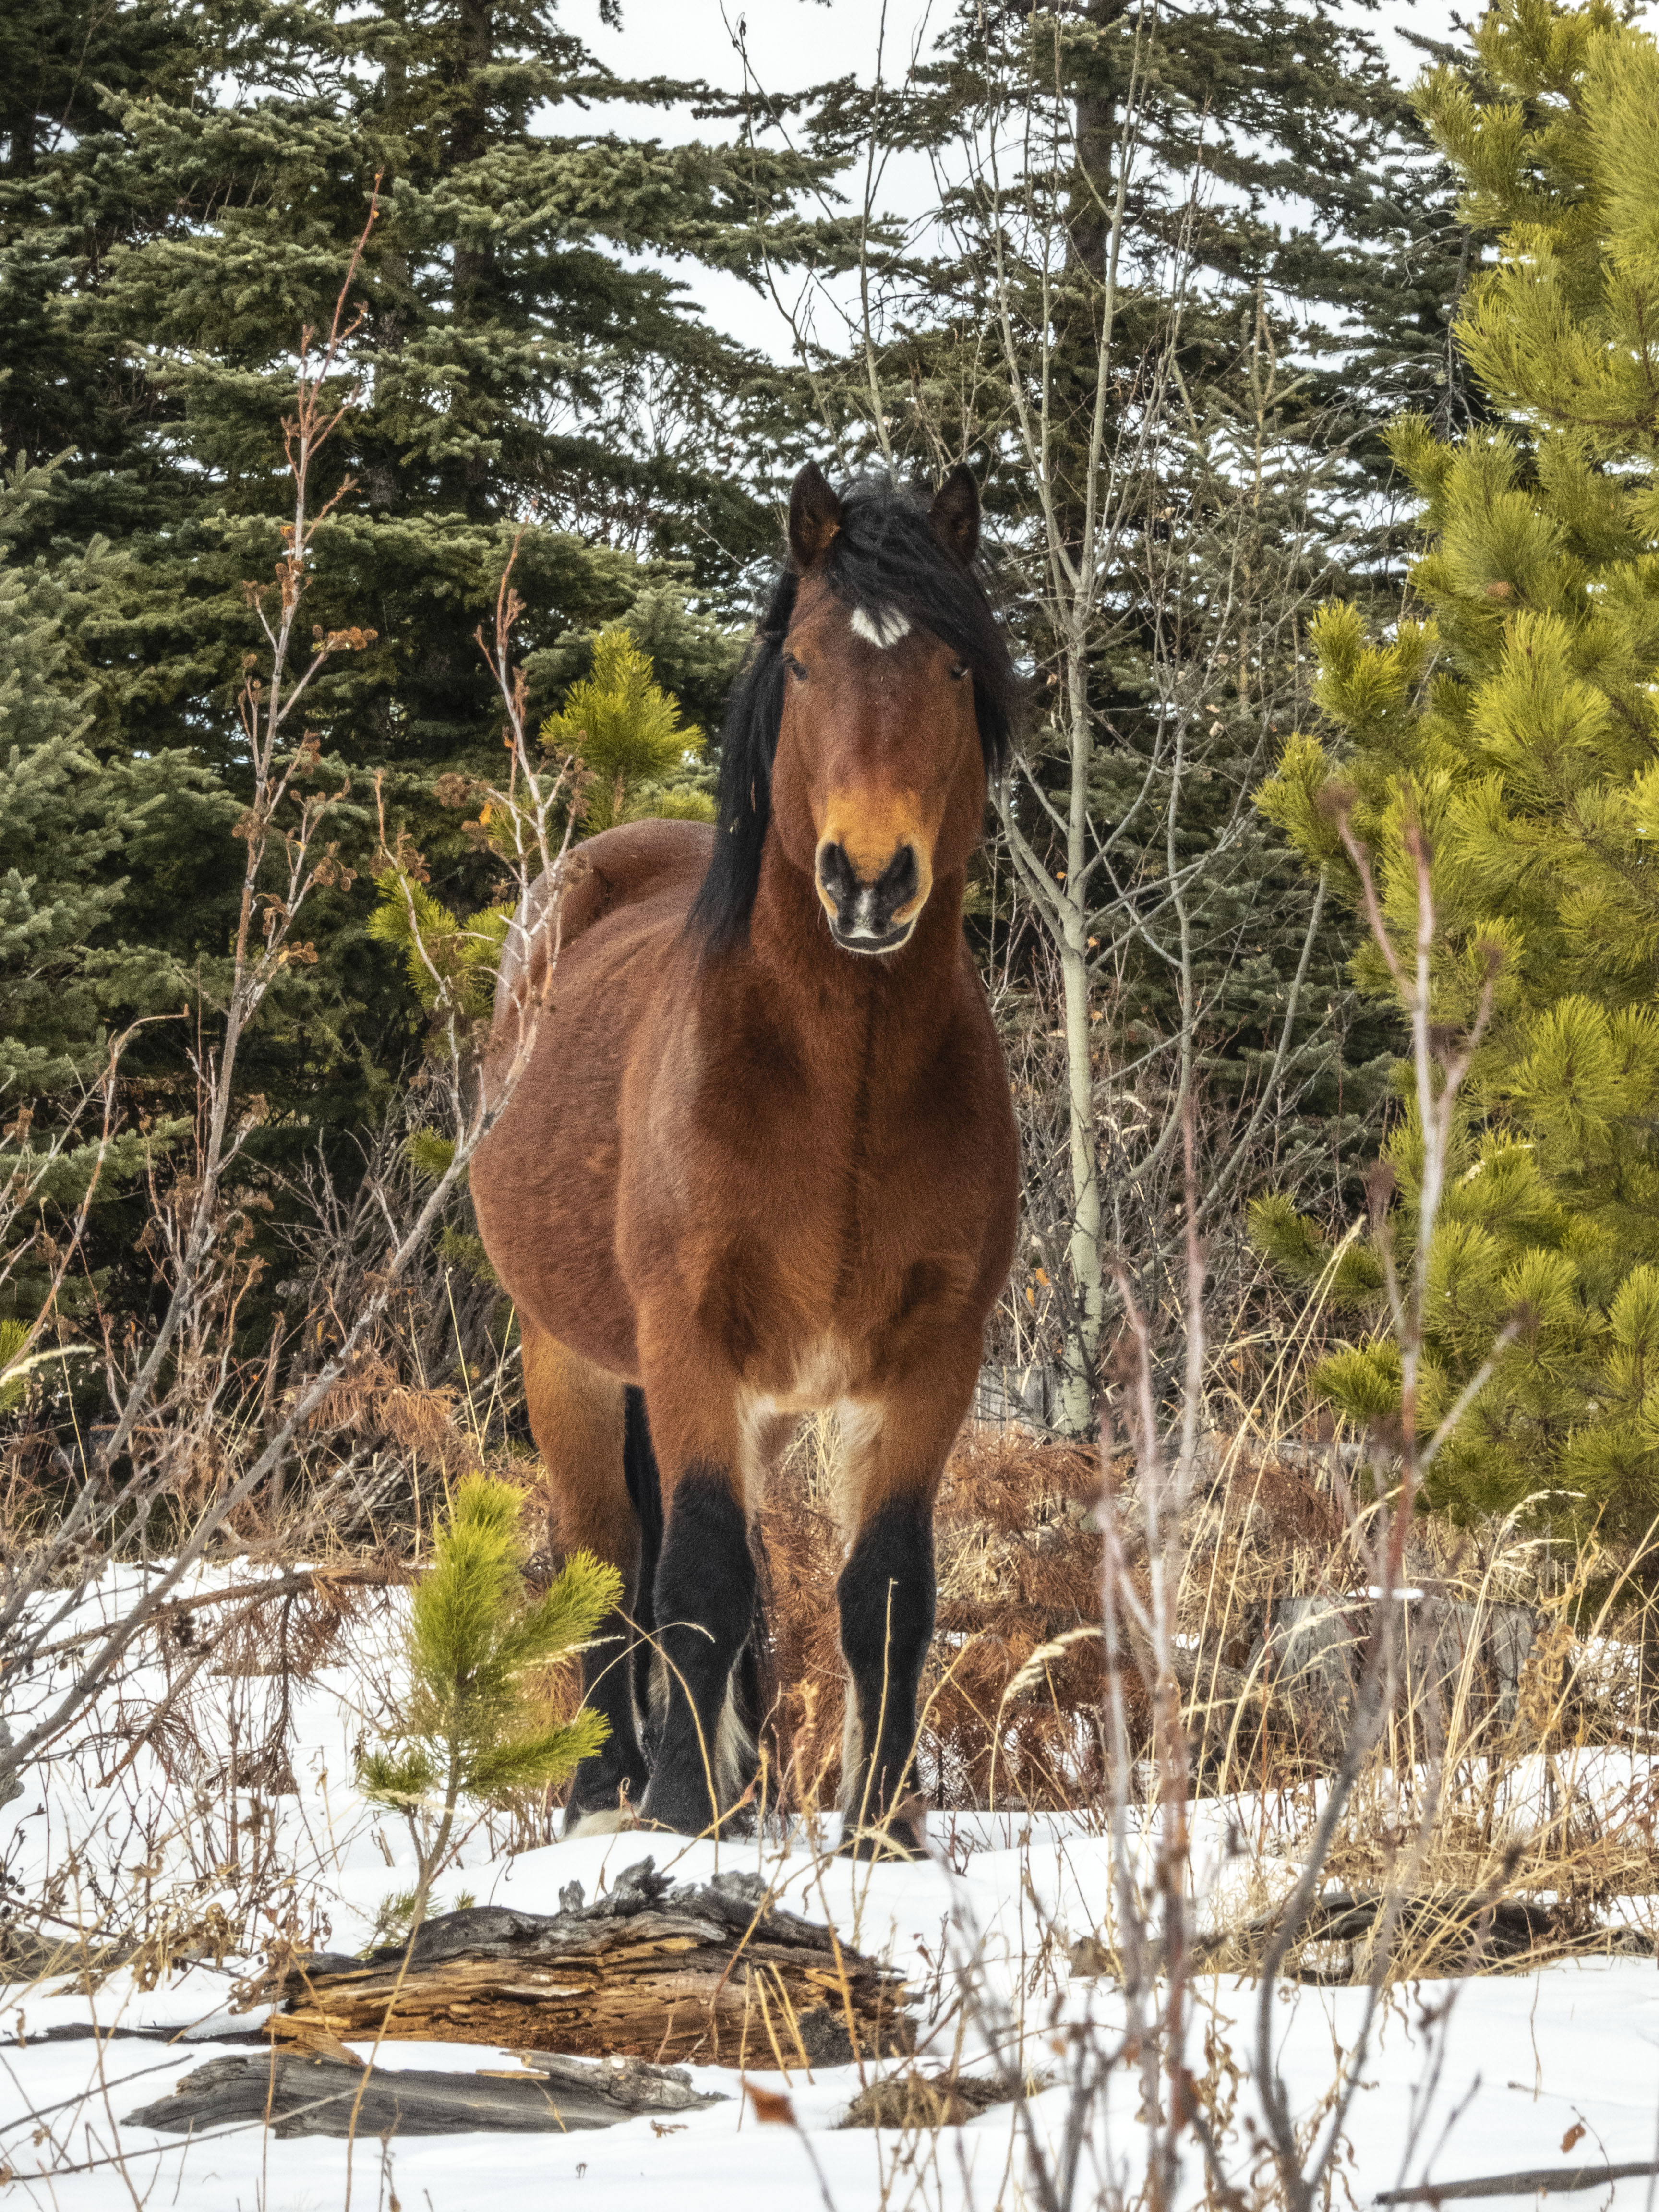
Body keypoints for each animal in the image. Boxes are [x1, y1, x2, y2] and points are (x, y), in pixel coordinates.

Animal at [469, 462, 1035, 1849]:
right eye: (811, 663)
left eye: (953, 666)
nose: (870, 880)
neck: (840, 1089)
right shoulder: (688, 1344)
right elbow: (700, 1577)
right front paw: (675, 1814)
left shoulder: (926, 1362)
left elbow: (882, 1590)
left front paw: (881, 1831)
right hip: (569, 1363)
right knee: (611, 1564)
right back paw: (610, 1791)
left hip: (764, 1408)